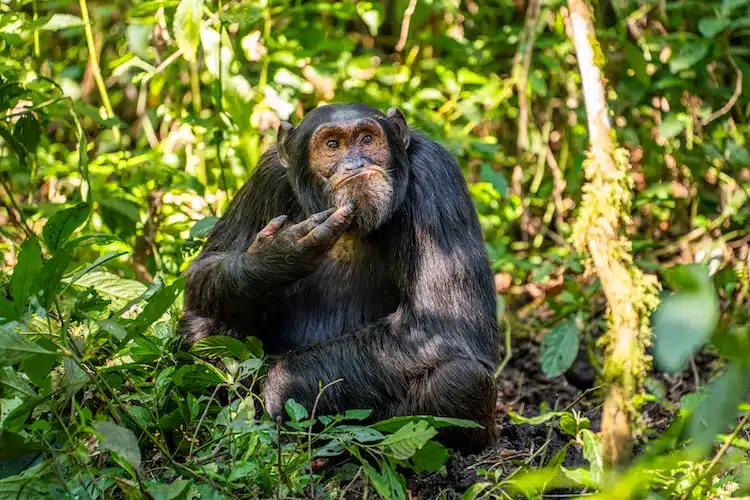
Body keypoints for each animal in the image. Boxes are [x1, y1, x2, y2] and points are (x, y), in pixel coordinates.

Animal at [179, 103, 502, 452]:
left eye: (366, 139)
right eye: (332, 145)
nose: (355, 163)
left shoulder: (436, 176)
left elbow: (444, 323)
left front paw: (281, 385)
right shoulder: (266, 175)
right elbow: (205, 266)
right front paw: (275, 257)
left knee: (460, 379)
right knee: (202, 326)